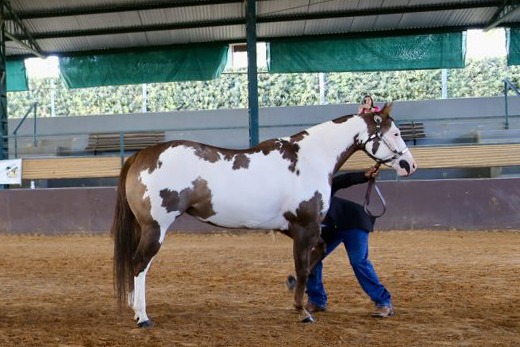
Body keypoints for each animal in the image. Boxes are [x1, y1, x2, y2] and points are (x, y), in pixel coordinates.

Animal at [111, 102, 416, 328]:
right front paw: (302, 311)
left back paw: (133, 307)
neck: (310, 159)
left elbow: (317, 255)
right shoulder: (305, 228)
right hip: (156, 228)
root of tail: (141, 154)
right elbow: (303, 267)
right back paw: (142, 316)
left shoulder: (298, 228)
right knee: (140, 264)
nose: (409, 165)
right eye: (396, 133)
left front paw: (294, 288)